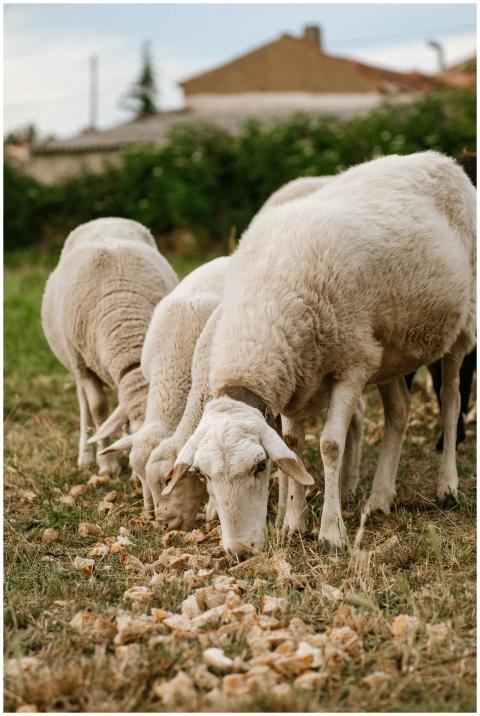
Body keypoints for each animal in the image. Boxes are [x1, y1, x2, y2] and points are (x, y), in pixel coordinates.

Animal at [41, 217, 178, 476]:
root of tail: (104, 219)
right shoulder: (83, 366)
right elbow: (98, 408)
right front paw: (107, 466)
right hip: (75, 362)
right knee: (84, 405)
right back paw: (86, 456)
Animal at [162, 151, 475, 556]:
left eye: (260, 467)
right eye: (204, 474)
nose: (240, 551)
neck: (263, 312)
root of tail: (441, 160)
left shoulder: (352, 365)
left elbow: (329, 445)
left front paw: (330, 532)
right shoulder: (294, 377)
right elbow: (295, 446)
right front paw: (294, 524)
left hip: (459, 326)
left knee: (451, 399)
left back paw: (446, 485)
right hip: (390, 349)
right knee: (399, 412)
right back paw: (380, 497)